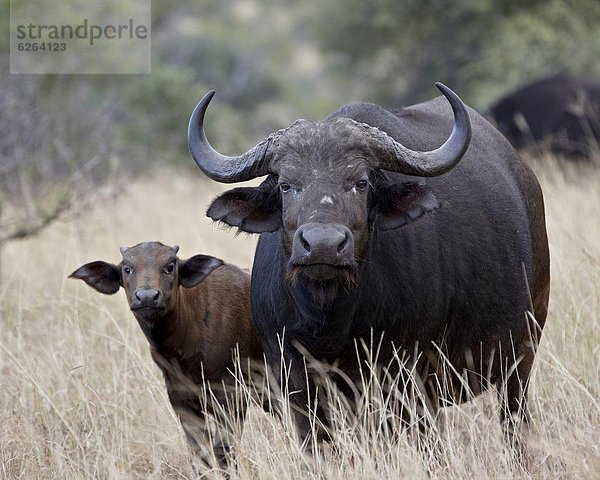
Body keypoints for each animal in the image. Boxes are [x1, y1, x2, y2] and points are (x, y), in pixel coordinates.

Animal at [186, 83, 548, 450]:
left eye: (360, 183)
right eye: (286, 184)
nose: (323, 245)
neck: (330, 320)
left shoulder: (405, 378)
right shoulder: (295, 383)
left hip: (521, 355)